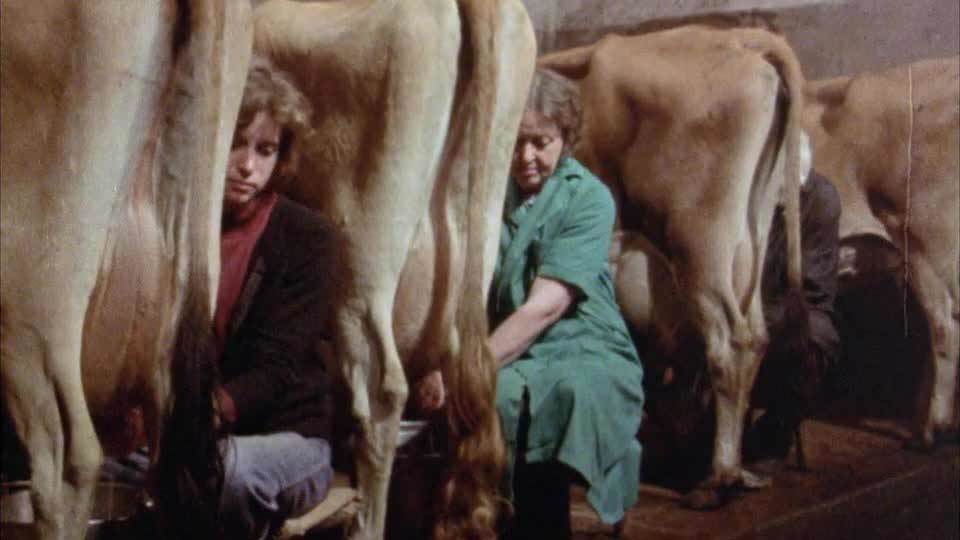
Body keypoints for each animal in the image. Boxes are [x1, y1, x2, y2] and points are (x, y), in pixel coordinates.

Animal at [539, 26, 805, 508]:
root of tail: (738, 39)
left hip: (698, 237)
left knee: (728, 340)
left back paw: (718, 477)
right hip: (748, 237)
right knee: (755, 335)